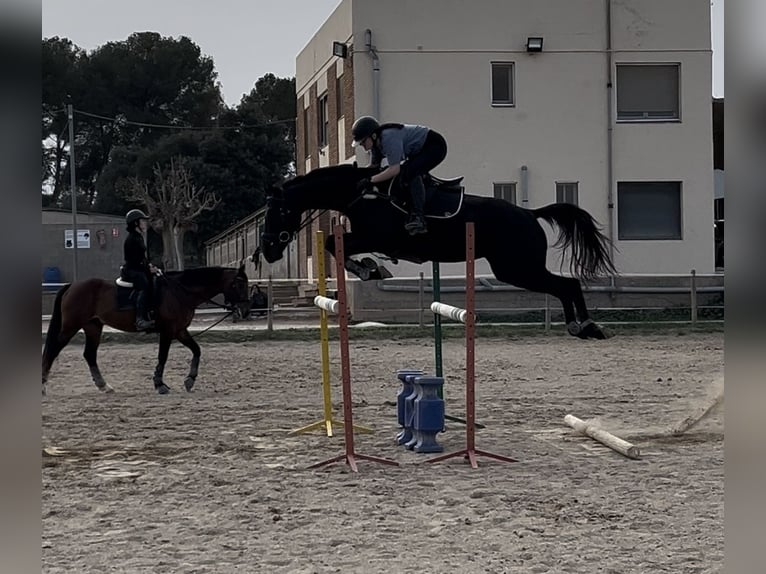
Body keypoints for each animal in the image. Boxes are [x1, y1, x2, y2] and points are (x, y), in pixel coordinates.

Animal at [42, 266, 252, 396]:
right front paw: (160, 385)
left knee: (89, 354)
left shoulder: (180, 330)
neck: (181, 291)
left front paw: (190, 380)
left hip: (93, 326)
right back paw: (43, 386)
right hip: (71, 326)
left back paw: (104, 386)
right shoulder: (168, 331)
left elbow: (197, 350)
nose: (245, 310)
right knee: (53, 349)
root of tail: (73, 285)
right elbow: (163, 357)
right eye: (239, 284)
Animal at [260, 164, 620, 340]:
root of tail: (530, 214)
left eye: (277, 212)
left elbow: (332, 245)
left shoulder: (375, 236)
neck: (360, 193)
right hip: (516, 268)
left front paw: (367, 269)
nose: (267, 252)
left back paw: (588, 326)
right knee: (565, 285)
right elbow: (333, 245)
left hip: (517, 267)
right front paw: (369, 268)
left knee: (566, 284)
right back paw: (580, 327)